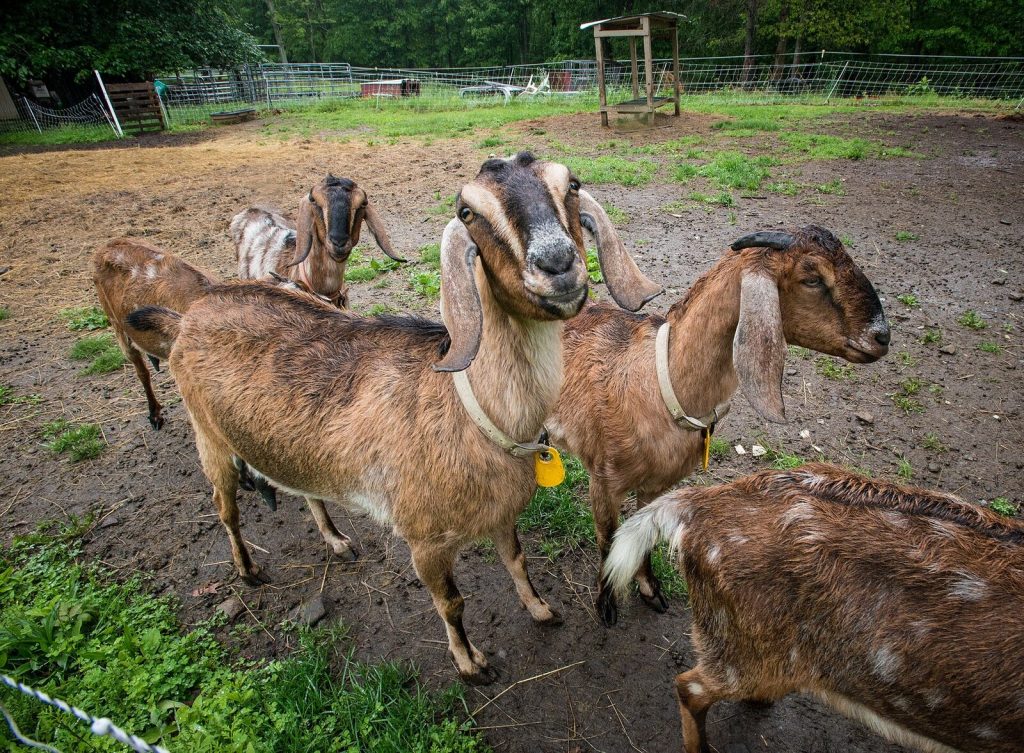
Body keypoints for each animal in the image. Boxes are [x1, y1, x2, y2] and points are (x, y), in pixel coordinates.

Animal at [549, 226, 890, 624]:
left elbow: (642, 538)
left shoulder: (655, 487)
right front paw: (606, 606)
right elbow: (607, 540)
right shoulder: (603, 481)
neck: (656, 381)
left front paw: (651, 591)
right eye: (812, 278)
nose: (882, 336)